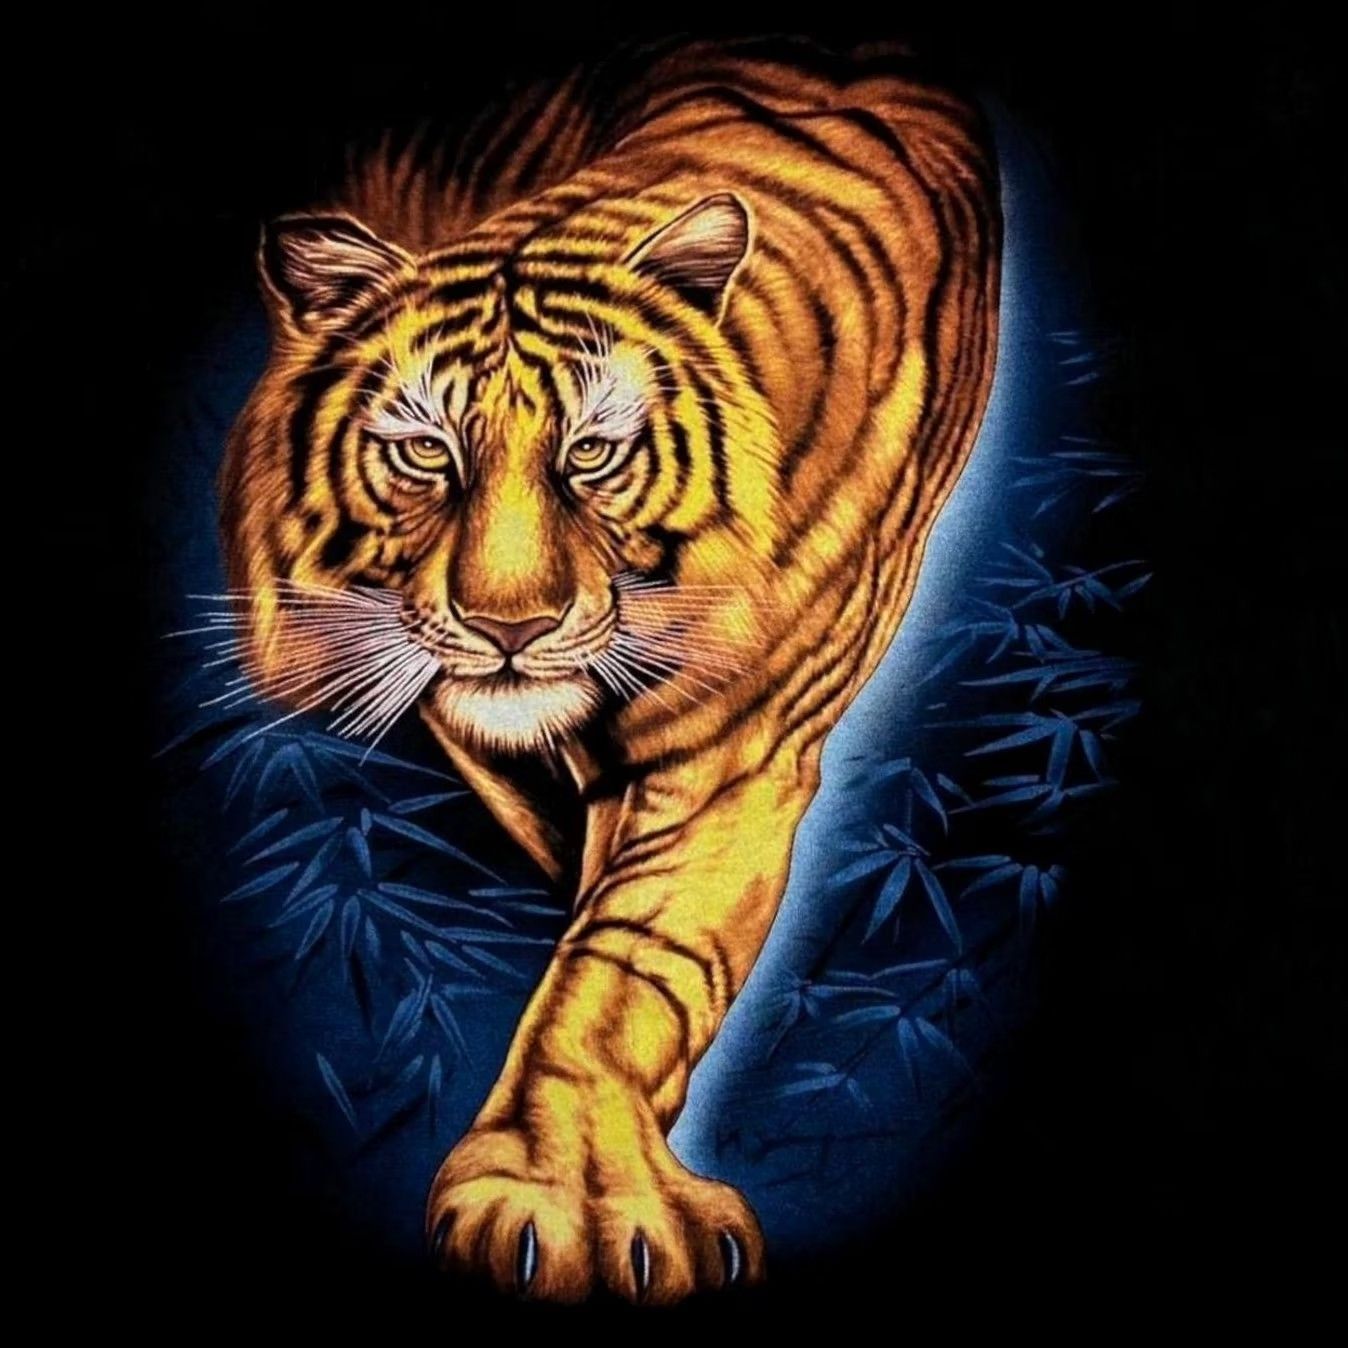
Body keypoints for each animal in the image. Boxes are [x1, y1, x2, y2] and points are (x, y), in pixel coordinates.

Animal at [220, 34, 1001, 1304]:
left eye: (591, 453)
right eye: (424, 452)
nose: (510, 626)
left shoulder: (734, 745)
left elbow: (624, 961)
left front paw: (576, 1197)